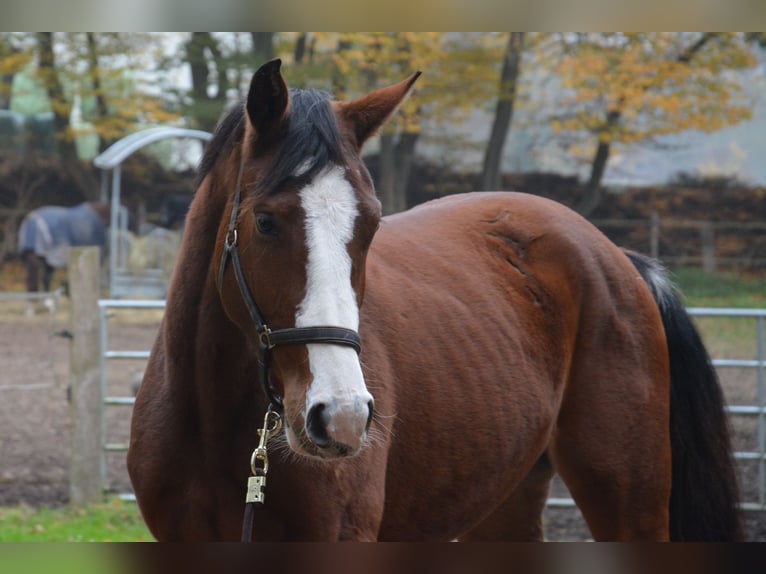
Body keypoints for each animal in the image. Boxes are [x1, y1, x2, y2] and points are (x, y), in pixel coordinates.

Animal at [127, 60, 744, 544]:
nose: (342, 417)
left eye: (371, 225)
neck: (210, 423)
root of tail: (615, 257)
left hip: (631, 504)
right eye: (265, 222)